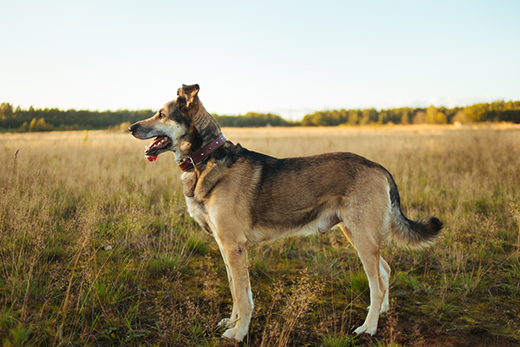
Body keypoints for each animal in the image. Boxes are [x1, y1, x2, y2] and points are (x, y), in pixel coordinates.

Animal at [130, 84, 442, 342]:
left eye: (161, 114)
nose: (131, 127)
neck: (205, 158)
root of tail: (379, 167)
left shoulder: (234, 246)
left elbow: (242, 295)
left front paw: (239, 333)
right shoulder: (225, 246)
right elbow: (235, 290)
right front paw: (232, 323)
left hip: (362, 237)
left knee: (376, 283)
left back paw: (369, 327)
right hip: (355, 234)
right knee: (384, 271)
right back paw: (381, 312)